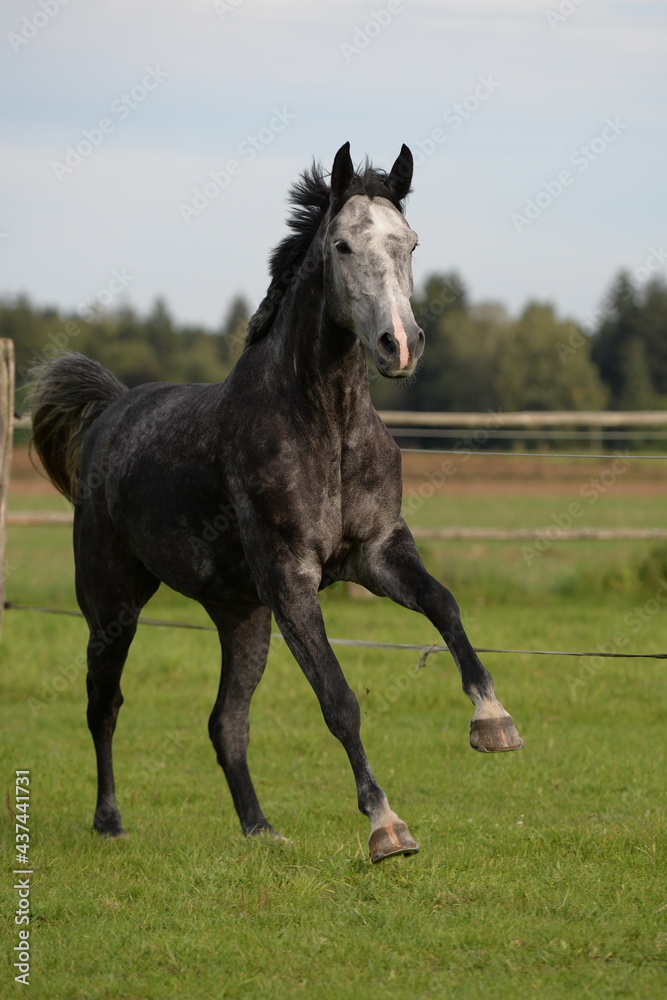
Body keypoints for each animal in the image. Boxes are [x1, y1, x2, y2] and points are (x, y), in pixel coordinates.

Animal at [31, 145, 520, 864]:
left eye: (410, 242)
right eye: (342, 245)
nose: (399, 345)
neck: (326, 425)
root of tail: (112, 412)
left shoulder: (376, 554)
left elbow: (445, 606)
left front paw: (493, 723)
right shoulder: (293, 581)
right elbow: (338, 699)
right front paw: (386, 828)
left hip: (240, 617)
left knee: (225, 722)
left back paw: (260, 828)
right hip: (113, 603)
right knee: (104, 705)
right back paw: (110, 821)